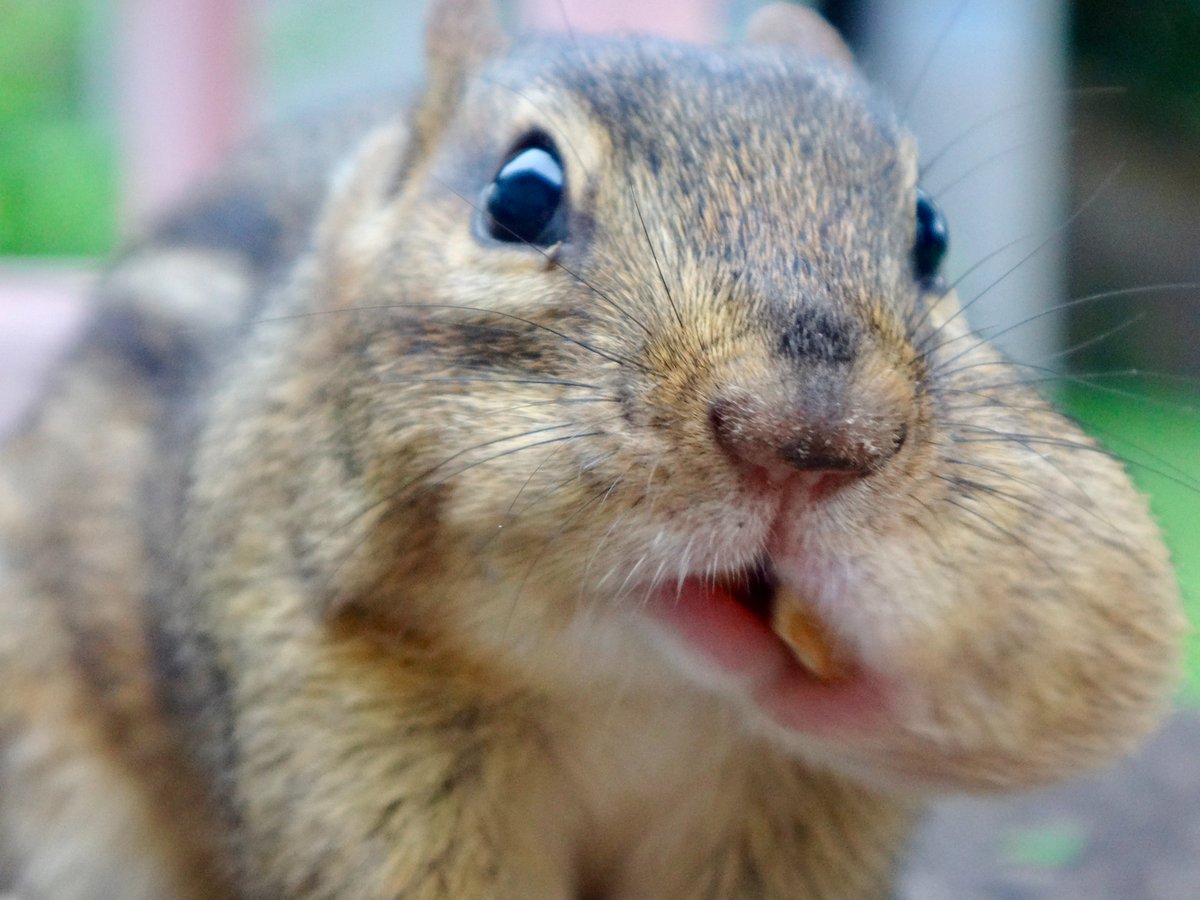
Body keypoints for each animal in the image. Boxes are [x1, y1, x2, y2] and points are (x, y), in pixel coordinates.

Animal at [0, 1, 1186, 897]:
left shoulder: (788, 823)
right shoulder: (348, 734)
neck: (631, 700)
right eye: (520, 194)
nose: (816, 438)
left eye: (931, 231)